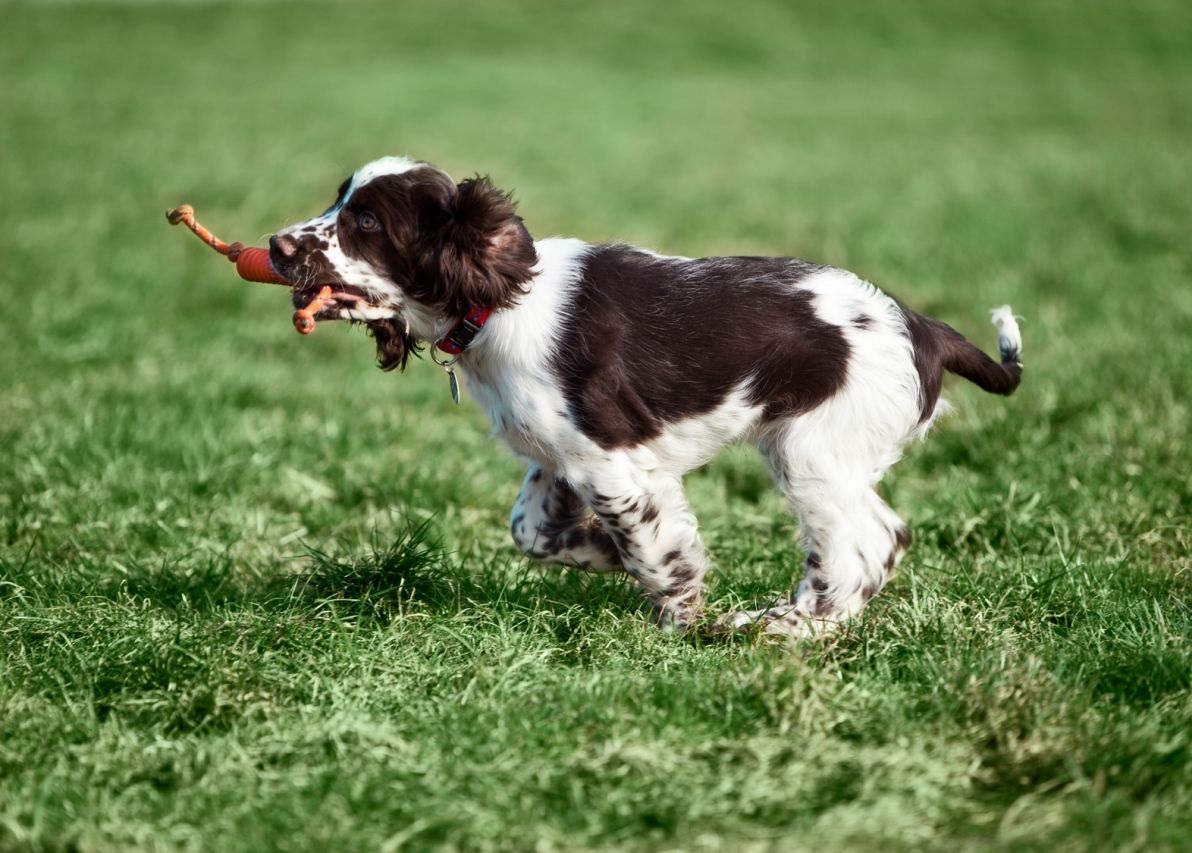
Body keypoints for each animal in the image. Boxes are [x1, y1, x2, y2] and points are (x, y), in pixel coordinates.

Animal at [270, 154, 1025, 633]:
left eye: (366, 223)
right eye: (338, 201)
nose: (276, 245)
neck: (499, 303)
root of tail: (922, 327)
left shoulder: (613, 459)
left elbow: (652, 543)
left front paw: (678, 611)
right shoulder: (559, 456)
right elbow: (531, 529)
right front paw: (600, 555)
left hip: (812, 450)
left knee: (863, 541)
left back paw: (787, 628)